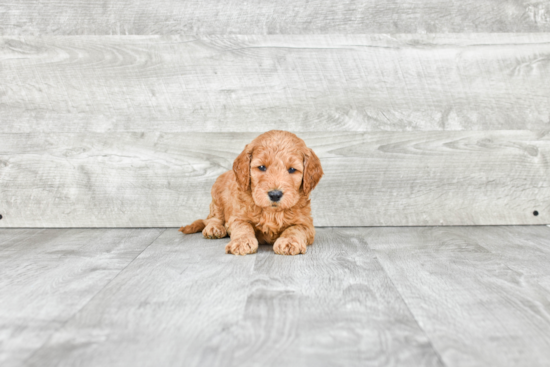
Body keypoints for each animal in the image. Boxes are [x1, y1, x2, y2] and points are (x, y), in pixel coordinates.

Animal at [180, 130, 324, 256]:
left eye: (292, 169)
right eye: (261, 167)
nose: (275, 195)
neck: (271, 212)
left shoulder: (306, 223)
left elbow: (295, 229)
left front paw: (288, 241)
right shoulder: (237, 217)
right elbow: (243, 227)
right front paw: (241, 242)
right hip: (217, 198)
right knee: (212, 218)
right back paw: (214, 228)